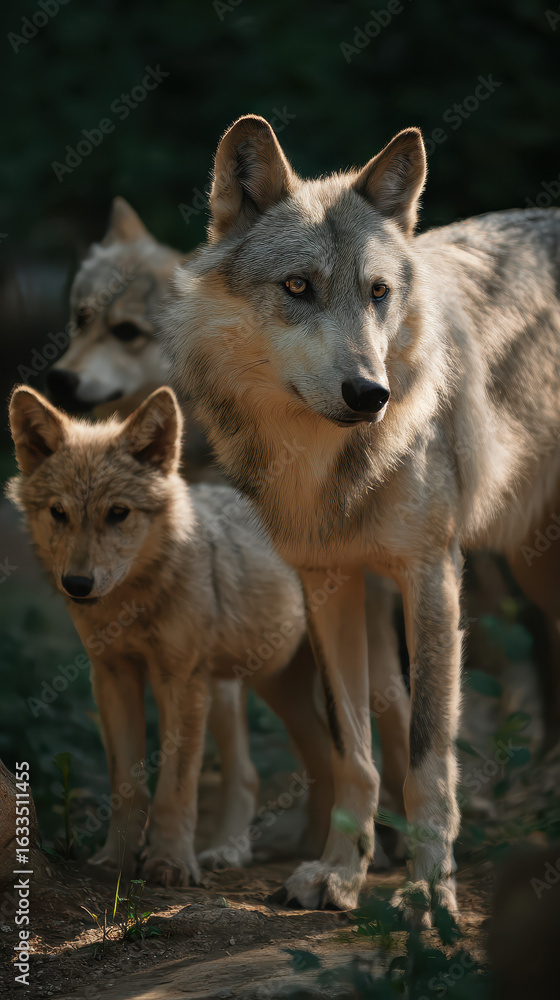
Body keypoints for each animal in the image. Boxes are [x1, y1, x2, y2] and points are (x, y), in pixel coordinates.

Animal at [8, 385, 409, 886]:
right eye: (58, 513)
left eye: (118, 513)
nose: (77, 584)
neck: (135, 603)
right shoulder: (113, 677)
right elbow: (128, 786)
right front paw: (115, 862)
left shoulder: (180, 680)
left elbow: (176, 789)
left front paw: (171, 863)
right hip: (258, 685)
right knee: (293, 764)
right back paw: (285, 851)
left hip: (351, 681)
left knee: (393, 743)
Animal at [165, 115, 560, 921]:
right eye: (298, 287)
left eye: (378, 293)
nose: (369, 393)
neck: (328, 465)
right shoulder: (331, 583)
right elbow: (357, 753)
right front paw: (341, 873)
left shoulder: (431, 575)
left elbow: (428, 756)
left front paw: (429, 890)